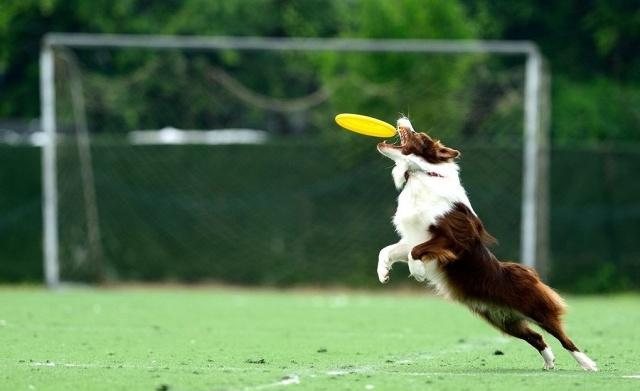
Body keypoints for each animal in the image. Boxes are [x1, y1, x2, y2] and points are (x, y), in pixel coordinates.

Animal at [378, 115, 596, 370]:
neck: (423, 174)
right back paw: (549, 362)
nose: (403, 118)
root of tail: (528, 273)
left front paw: (418, 272)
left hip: (536, 308)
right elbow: (389, 250)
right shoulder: (414, 236)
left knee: (564, 337)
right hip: (504, 320)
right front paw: (384, 273)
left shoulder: (455, 239)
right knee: (536, 336)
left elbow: (416, 251)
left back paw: (588, 364)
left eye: (419, 135)